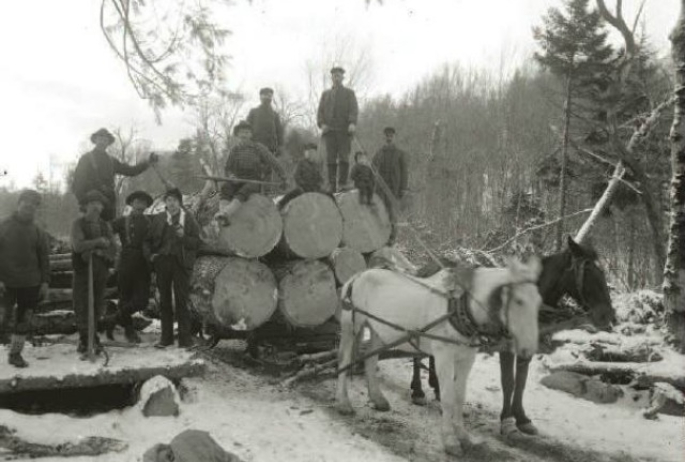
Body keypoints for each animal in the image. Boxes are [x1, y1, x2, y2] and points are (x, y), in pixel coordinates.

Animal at [334, 258, 544, 456]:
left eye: (539, 301)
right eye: (519, 301)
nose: (529, 348)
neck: (460, 307)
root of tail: (358, 275)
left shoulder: (466, 358)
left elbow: (459, 396)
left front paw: (463, 436)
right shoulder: (444, 356)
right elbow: (448, 397)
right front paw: (450, 441)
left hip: (379, 329)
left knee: (370, 359)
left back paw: (377, 399)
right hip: (351, 325)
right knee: (344, 359)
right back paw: (344, 403)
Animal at [406, 236, 616, 434]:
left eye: (602, 272)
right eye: (588, 272)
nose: (607, 315)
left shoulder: (526, 347)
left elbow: (521, 383)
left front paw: (522, 418)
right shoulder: (506, 346)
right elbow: (508, 381)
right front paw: (507, 421)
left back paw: (437, 389)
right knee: (416, 354)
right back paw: (418, 392)